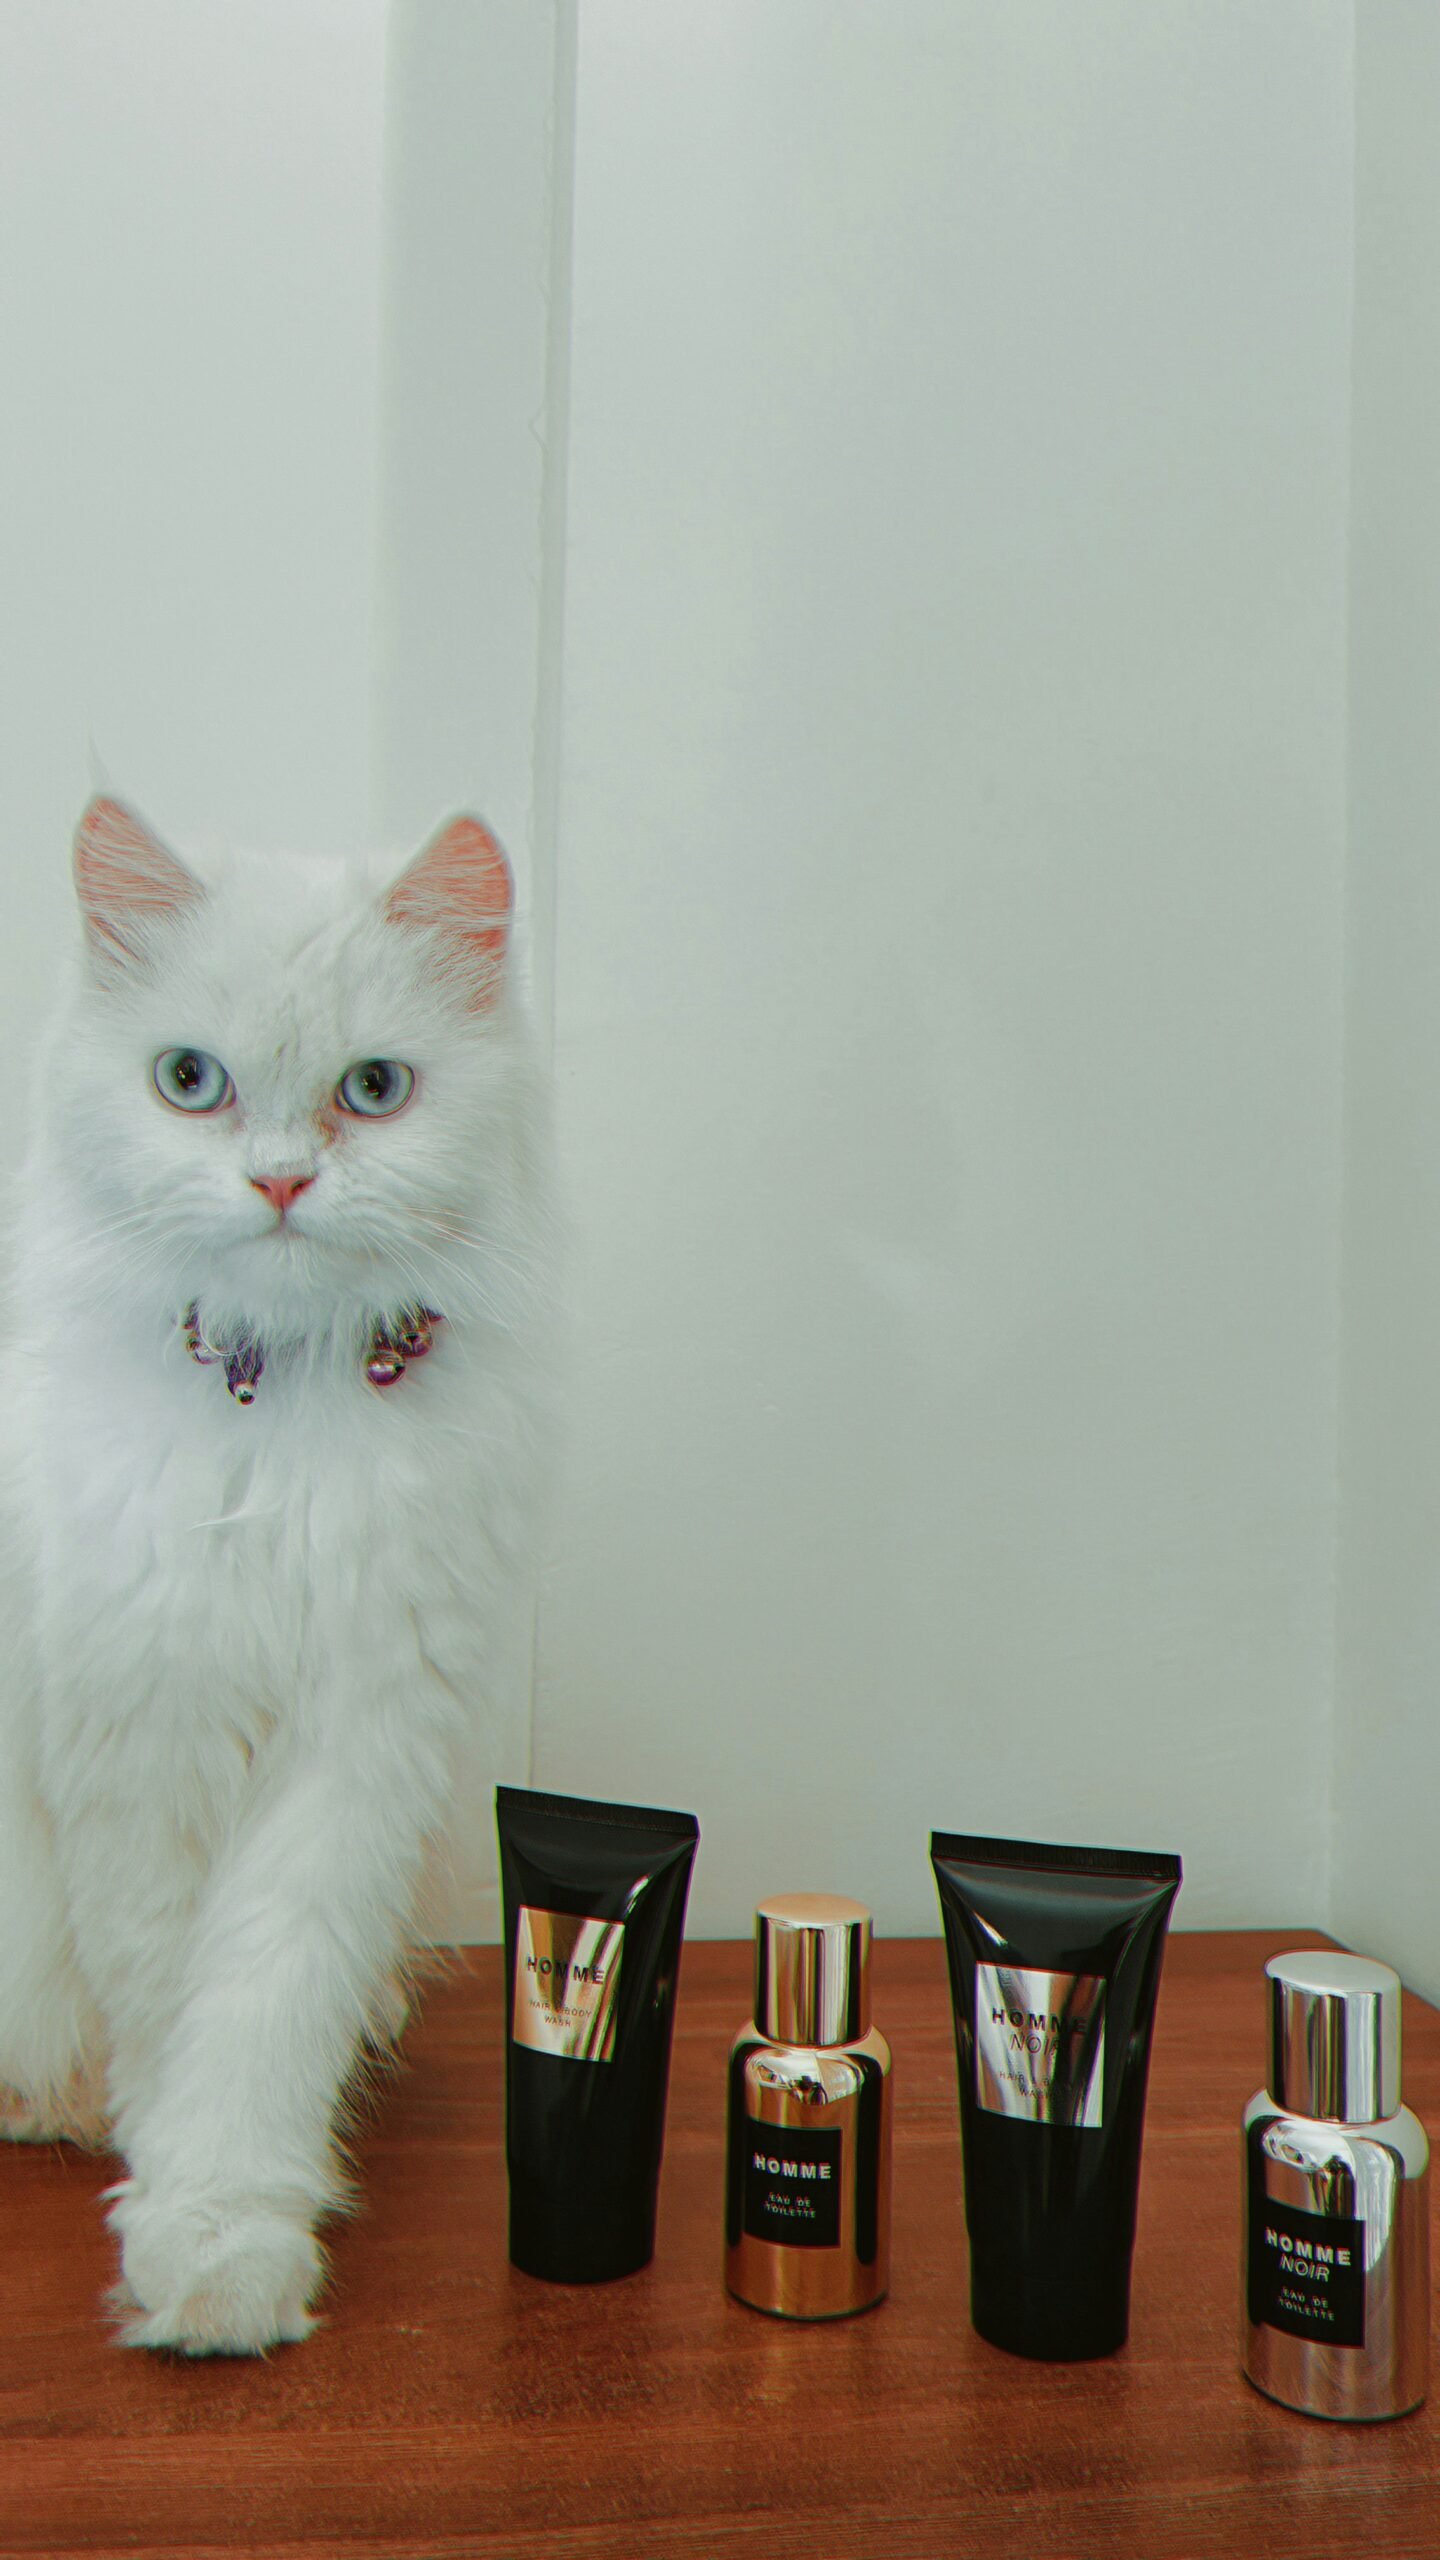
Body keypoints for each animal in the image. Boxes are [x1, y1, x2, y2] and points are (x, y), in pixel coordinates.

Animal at [0, 798, 545, 2355]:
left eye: (374, 1089)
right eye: (191, 1081)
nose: (284, 1181)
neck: (278, 1405)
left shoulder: (361, 1747)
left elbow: (258, 2011)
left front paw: (224, 2235)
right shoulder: (139, 1736)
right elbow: (164, 1998)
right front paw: (181, 2227)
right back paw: (50, 2104)